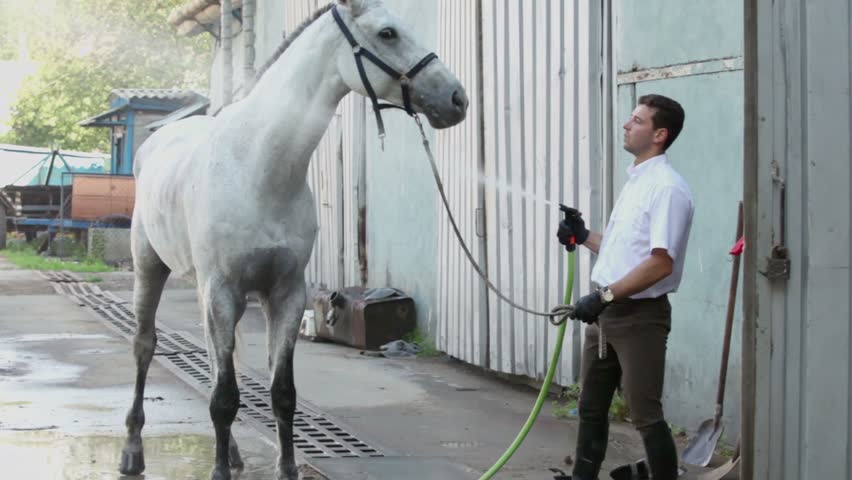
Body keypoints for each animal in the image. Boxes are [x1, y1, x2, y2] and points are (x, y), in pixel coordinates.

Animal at [117, 0, 468, 479]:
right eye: (388, 33)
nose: (457, 98)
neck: (258, 167)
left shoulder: (285, 293)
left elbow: (281, 392)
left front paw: (283, 467)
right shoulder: (222, 290)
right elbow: (224, 398)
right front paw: (217, 471)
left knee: (215, 359)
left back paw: (232, 452)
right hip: (151, 268)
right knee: (145, 346)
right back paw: (133, 451)